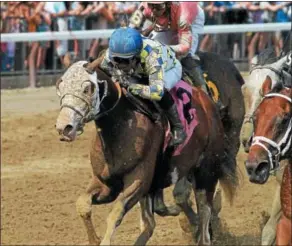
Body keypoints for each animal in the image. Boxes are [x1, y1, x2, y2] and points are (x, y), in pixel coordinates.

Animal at [56, 56, 238, 245]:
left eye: (87, 88)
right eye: (59, 87)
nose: (64, 128)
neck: (120, 126)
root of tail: (208, 102)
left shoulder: (139, 181)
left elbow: (116, 213)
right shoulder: (106, 183)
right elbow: (82, 204)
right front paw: (94, 239)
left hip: (206, 171)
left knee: (204, 211)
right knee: (154, 220)